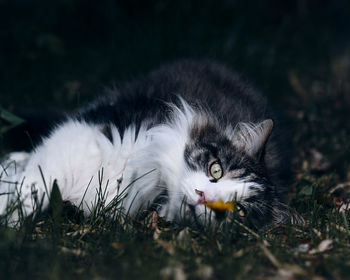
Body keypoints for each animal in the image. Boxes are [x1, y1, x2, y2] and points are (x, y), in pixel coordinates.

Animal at [0, 59, 298, 228]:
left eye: (238, 211)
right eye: (216, 169)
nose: (204, 198)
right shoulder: (88, 134)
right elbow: (34, 186)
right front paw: (9, 215)